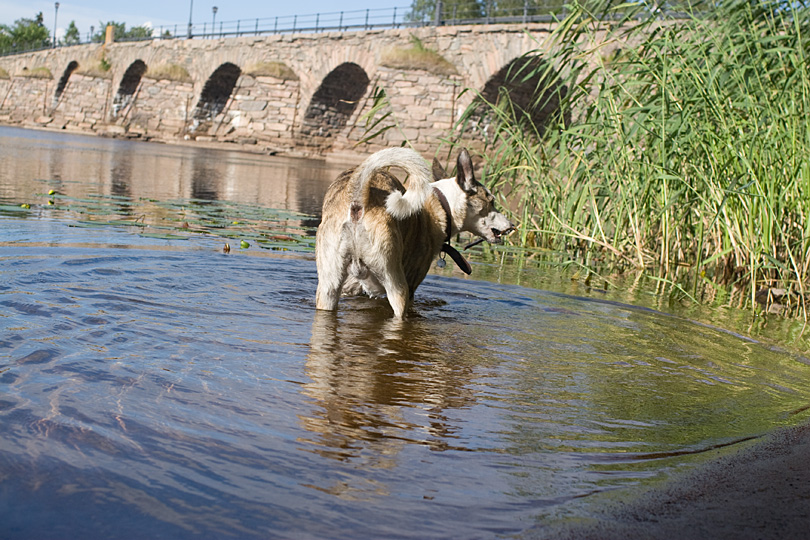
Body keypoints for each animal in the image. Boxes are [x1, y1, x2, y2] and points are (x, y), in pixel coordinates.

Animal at [316, 146, 512, 318]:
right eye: (491, 201)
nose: (511, 225)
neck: (442, 204)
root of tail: (359, 197)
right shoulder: (411, 285)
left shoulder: (351, 288)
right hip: (397, 286)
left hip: (328, 286)